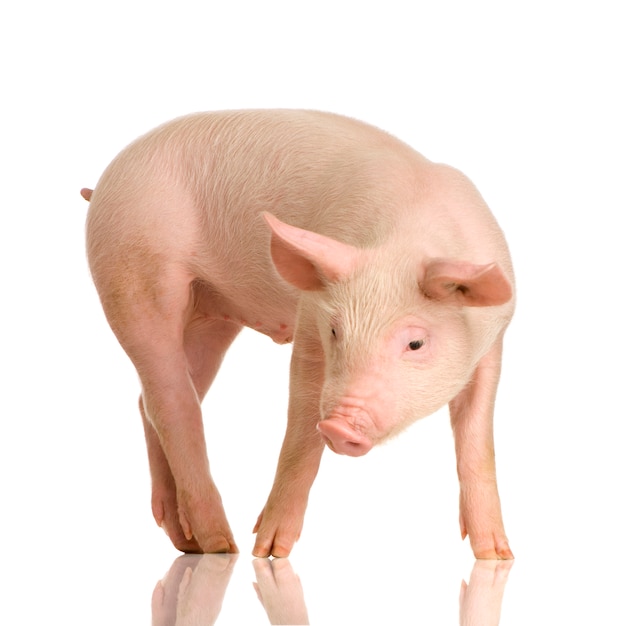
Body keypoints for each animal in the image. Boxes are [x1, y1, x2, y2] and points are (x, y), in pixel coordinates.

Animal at [81, 109, 512, 560]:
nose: (339, 426)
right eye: (336, 330)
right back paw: (222, 545)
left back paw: (188, 543)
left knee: (154, 399)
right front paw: (269, 552)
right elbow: (301, 434)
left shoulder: (493, 345)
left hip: (210, 315)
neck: (405, 241)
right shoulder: (309, 318)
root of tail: (105, 183)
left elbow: (477, 441)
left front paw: (497, 554)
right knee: (172, 401)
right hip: (132, 268)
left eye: (416, 342)